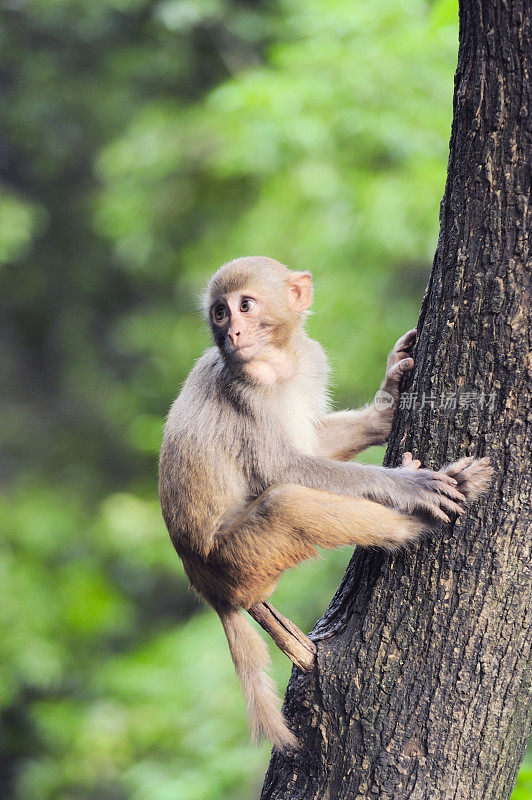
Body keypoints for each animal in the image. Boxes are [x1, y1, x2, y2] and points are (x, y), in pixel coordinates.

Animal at [158, 260, 490, 752]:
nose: (232, 331)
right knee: (286, 504)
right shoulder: (245, 390)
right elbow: (282, 469)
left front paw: (386, 407)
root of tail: (208, 590)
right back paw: (413, 524)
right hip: (239, 561)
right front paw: (407, 486)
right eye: (219, 311)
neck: (278, 363)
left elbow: (312, 445)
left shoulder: (310, 361)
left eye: (244, 305)